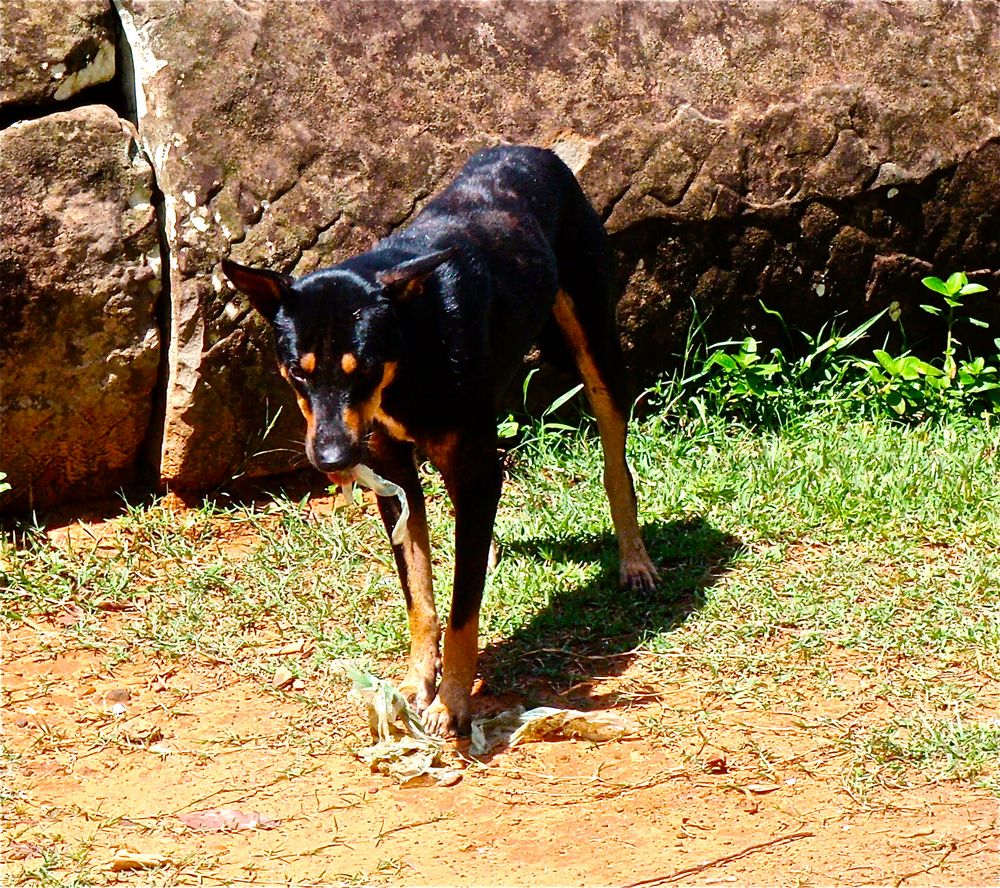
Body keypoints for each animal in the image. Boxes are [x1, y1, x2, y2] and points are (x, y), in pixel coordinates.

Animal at [222, 144, 656, 736]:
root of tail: (533, 150)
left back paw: (635, 560)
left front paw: (451, 703)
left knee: (616, 465)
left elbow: (461, 612)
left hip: (593, 346)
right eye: (297, 373)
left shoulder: (469, 465)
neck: (412, 345)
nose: (333, 457)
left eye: (364, 369)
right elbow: (422, 598)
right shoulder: (392, 475)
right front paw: (415, 684)